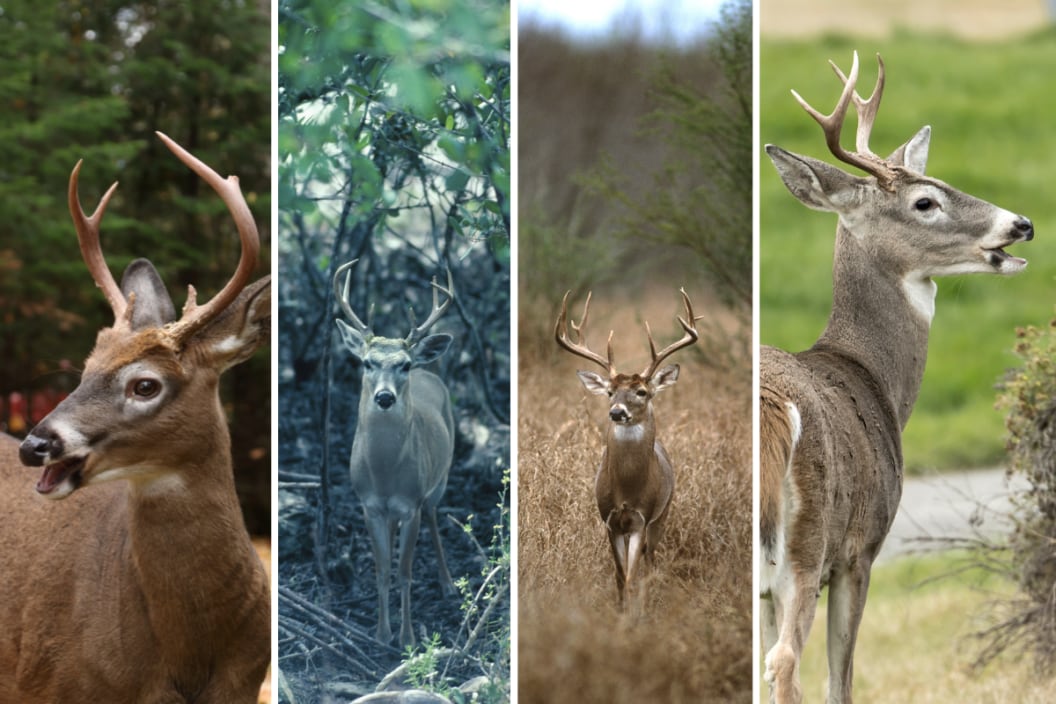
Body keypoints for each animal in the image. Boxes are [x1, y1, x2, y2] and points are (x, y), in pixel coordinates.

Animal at [333, 260, 458, 650]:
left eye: (403, 365)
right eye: (367, 362)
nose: (385, 397)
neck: (385, 472)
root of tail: (430, 371)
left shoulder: (411, 505)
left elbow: (403, 572)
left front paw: (407, 637)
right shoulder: (369, 504)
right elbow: (382, 570)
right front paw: (380, 632)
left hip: (439, 480)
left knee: (434, 515)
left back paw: (447, 584)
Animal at [557, 289, 696, 607]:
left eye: (641, 392)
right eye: (610, 392)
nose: (617, 412)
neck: (627, 489)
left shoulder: (641, 520)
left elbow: (632, 575)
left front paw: (634, 613)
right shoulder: (610, 520)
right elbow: (620, 576)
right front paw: (620, 610)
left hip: (663, 515)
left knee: (651, 560)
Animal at [760, 52, 1030, 700]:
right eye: (925, 202)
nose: (1022, 224)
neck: (871, 377)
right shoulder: (860, 550)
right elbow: (841, 680)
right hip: (806, 543)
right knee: (785, 663)